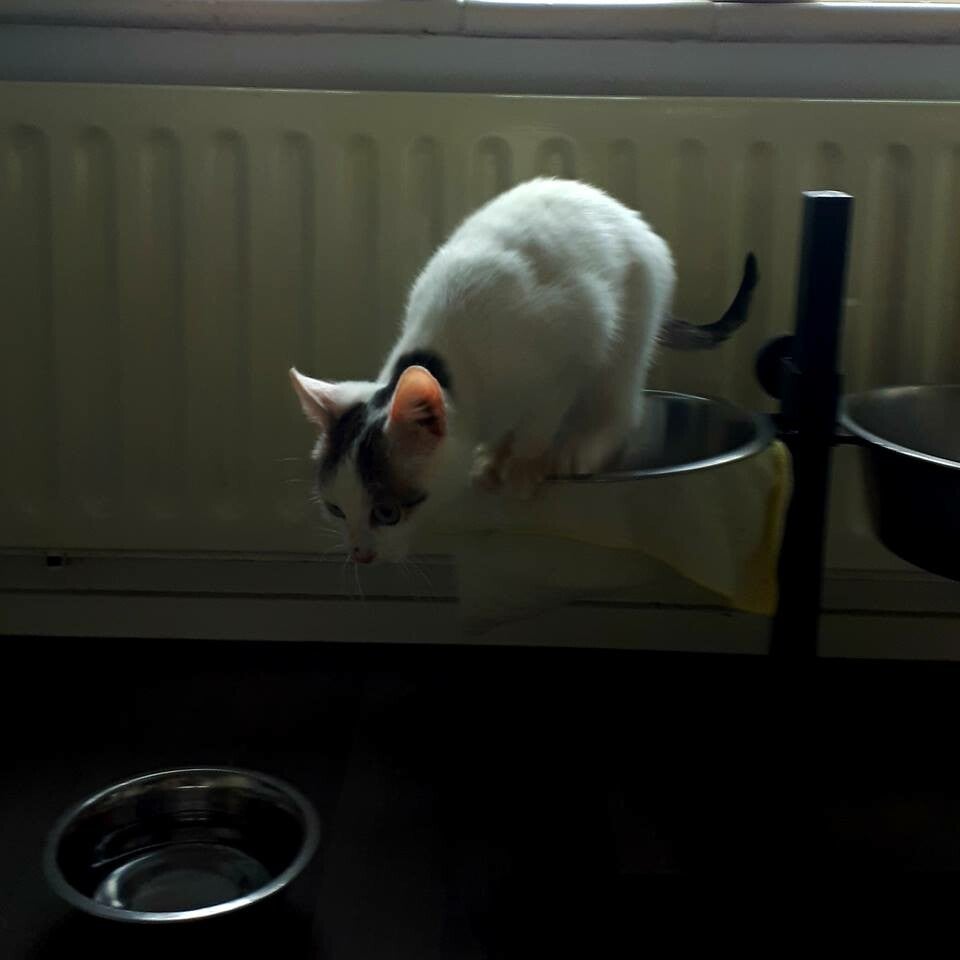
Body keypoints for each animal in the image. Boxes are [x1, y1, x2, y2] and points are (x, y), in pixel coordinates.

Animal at [290, 178, 757, 564]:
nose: (360, 555)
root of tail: (627, 214)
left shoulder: (574, 343)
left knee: (622, 406)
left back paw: (583, 446)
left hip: (629, 324)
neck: (451, 362)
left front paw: (523, 465)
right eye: (335, 509)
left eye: (387, 512)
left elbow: (540, 421)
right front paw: (494, 459)